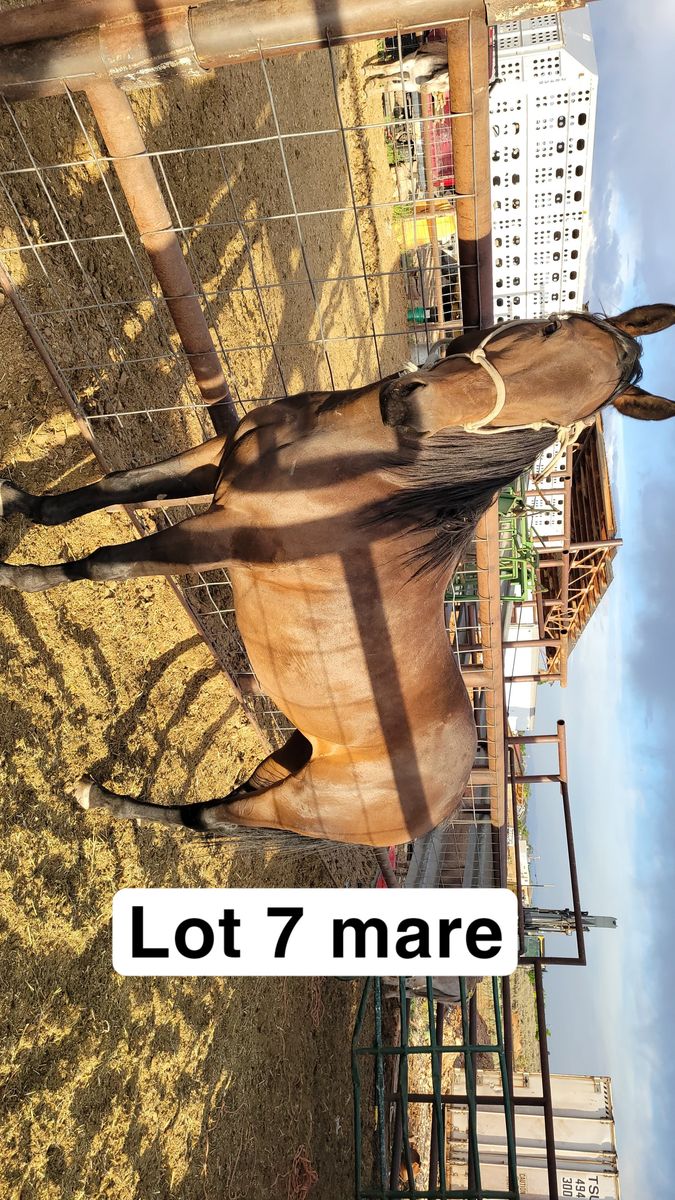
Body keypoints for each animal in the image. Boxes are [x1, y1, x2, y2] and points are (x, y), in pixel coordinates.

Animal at [1, 306, 674, 848]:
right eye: (551, 328)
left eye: (560, 421)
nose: (411, 403)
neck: (358, 464)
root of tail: (455, 794)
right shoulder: (212, 463)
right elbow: (112, 486)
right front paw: (18, 503)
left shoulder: (224, 532)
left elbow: (104, 562)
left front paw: (14, 577)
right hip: (293, 756)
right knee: (221, 806)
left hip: (300, 803)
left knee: (209, 820)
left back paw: (98, 797)